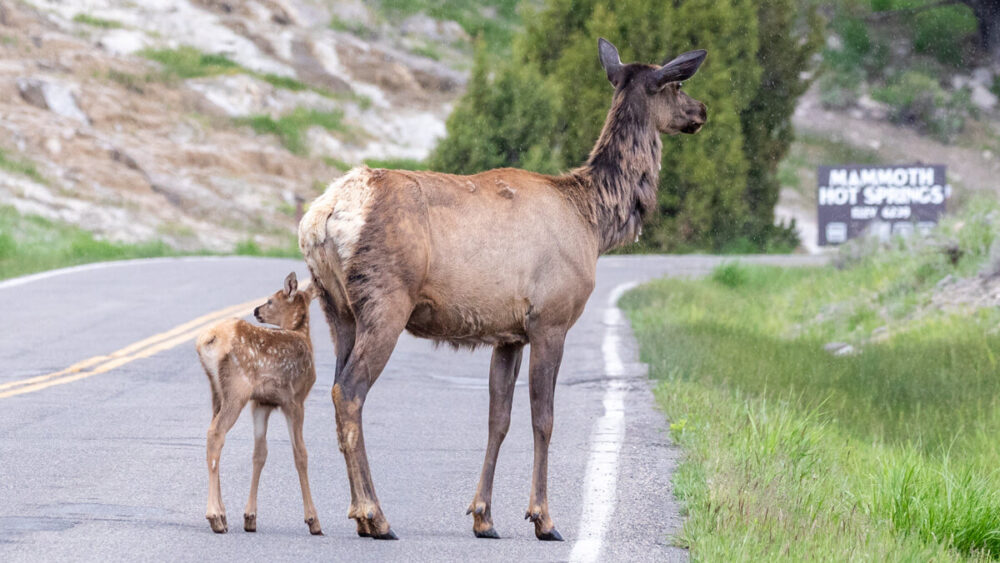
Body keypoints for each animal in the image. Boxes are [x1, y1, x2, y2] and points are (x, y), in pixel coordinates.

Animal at [195, 272, 323, 536]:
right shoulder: (295, 399)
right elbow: (301, 454)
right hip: (237, 388)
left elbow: (259, 453)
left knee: (212, 433)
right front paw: (313, 520)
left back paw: (222, 515)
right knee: (216, 433)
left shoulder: (262, 403)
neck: (303, 337)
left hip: (217, 391)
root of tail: (208, 339)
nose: (256, 310)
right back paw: (215, 516)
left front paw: (250, 517)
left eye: (270, 301)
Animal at [298, 38, 708, 541]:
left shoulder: (508, 332)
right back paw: (375, 515)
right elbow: (543, 419)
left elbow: (499, 418)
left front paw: (483, 516)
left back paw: (360, 514)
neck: (593, 221)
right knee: (350, 391)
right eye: (677, 85)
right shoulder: (551, 318)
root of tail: (322, 217)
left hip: (336, 307)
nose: (702, 111)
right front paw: (543, 518)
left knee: (336, 387)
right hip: (385, 299)